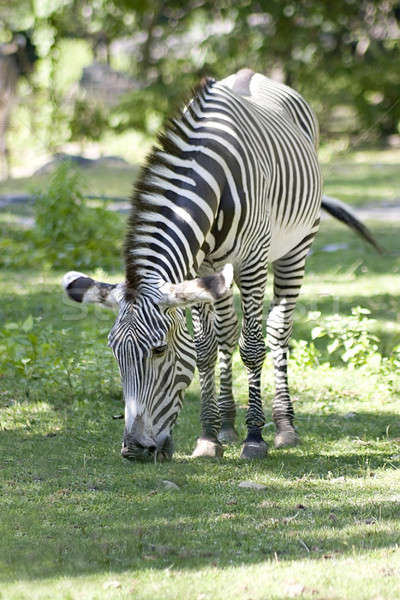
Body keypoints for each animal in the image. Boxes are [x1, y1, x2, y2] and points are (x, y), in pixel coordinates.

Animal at [61, 71, 378, 464]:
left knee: (278, 331)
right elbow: (205, 349)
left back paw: (284, 427)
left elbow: (253, 347)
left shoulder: (252, 261)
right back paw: (227, 424)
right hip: (220, 272)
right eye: (114, 351)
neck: (209, 177)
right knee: (227, 332)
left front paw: (255, 438)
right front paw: (209, 437)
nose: (134, 450)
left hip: (296, 249)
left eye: (159, 350)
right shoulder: (198, 268)